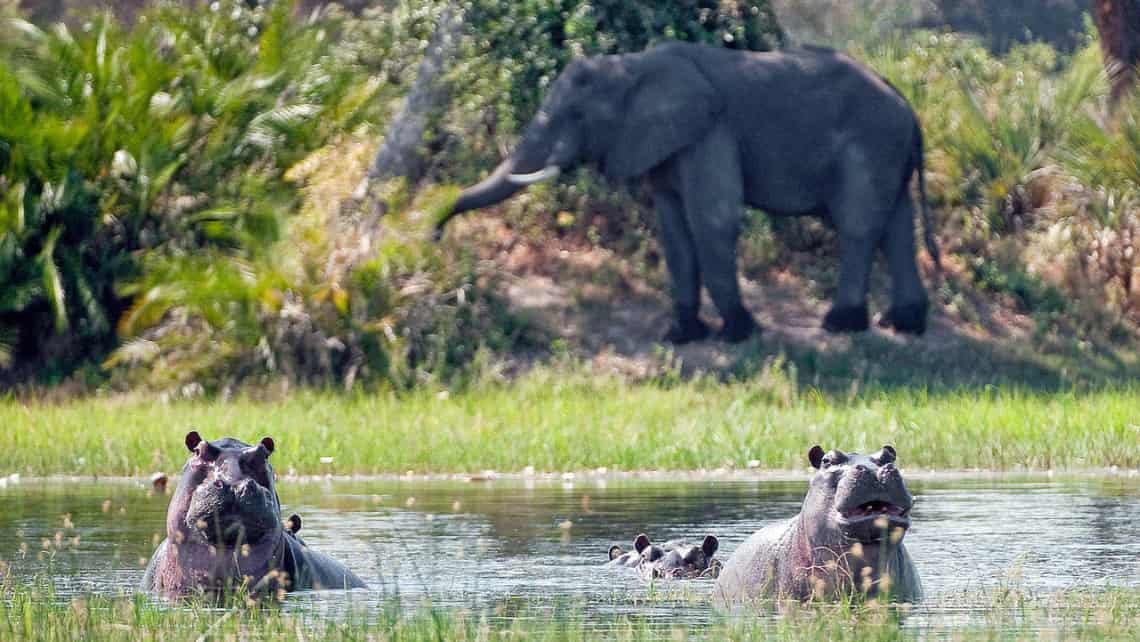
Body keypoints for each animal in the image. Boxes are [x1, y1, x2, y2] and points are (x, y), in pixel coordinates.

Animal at [430, 40, 939, 344]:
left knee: (859, 226)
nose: (434, 236)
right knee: (897, 225)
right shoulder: (664, 144)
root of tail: (910, 108)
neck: (633, 65)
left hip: (870, 144)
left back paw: (841, 325)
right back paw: (904, 325)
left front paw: (738, 334)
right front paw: (680, 336)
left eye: (576, 116)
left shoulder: (708, 131)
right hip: (885, 150)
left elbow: (712, 220)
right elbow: (673, 231)